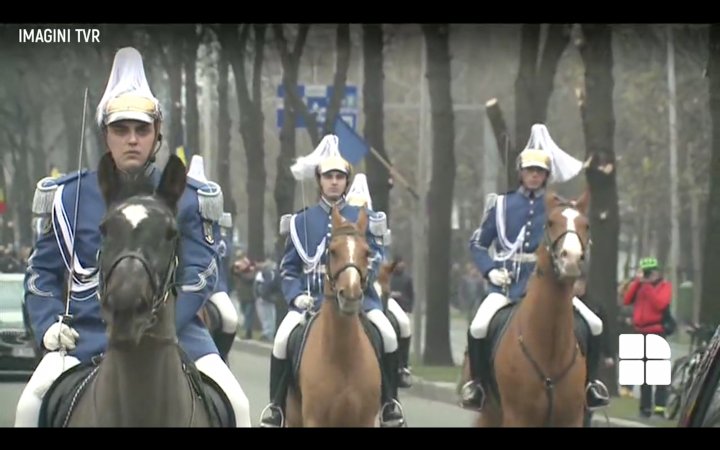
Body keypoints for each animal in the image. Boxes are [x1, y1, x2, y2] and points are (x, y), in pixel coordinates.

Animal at [284, 206, 382, 428]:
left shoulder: (364, 420)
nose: (351, 295)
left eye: (367, 252)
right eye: (333, 251)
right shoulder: (315, 420)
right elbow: (288, 269)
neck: (342, 356)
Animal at [462, 188, 592, 428]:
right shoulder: (518, 417)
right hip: (490, 413)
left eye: (586, 225)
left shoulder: (571, 418)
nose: (570, 260)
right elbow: (479, 243)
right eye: (550, 222)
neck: (550, 350)